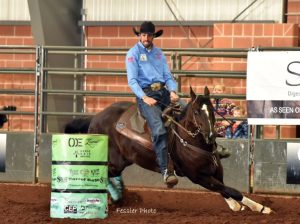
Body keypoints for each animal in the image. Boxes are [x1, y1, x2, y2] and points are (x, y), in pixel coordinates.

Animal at [81, 87, 274, 214]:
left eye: (211, 110)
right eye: (196, 112)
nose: (211, 136)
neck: (192, 142)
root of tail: (96, 118)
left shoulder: (216, 171)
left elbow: (225, 188)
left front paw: (236, 205)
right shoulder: (197, 177)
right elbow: (231, 190)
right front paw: (261, 207)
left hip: (122, 161)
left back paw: (118, 197)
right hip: (114, 161)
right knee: (99, 173)